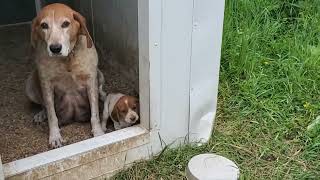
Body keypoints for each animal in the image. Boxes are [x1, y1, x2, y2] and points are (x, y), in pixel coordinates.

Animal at [25, 3, 105, 148]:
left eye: (66, 24)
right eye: (44, 25)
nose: (55, 48)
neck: (67, 59)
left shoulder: (91, 80)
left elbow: (95, 113)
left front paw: (98, 132)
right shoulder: (46, 85)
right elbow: (52, 115)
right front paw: (55, 136)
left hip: (99, 74)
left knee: (101, 90)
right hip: (29, 85)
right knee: (43, 104)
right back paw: (41, 114)